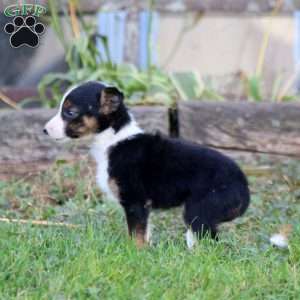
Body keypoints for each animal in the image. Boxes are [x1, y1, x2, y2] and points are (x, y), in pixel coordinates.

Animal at [44, 80, 251, 248]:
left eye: (70, 112)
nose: (45, 130)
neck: (113, 138)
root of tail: (244, 187)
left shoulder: (134, 201)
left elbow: (136, 235)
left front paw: (134, 254)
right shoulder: (143, 207)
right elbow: (144, 233)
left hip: (199, 212)